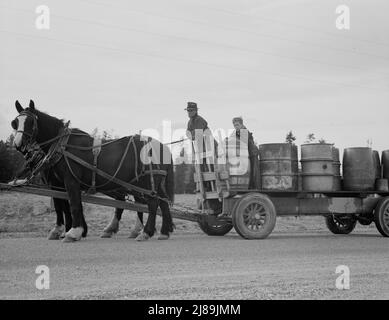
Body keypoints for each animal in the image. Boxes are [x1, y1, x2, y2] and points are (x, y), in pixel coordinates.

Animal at [11, 100, 174, 242]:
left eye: (30, 122)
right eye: (15, 123)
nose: (18, 145)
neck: (61, 145)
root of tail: (163, 147)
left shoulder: (69, 180)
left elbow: (73, 205)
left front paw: (73, 232)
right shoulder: (58, 183)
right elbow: (62, 205)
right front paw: (71, 230)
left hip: (146, 182)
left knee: (152, 203)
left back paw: (145, 232)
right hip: (152, 182)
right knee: (162, 202)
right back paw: (163, 232)